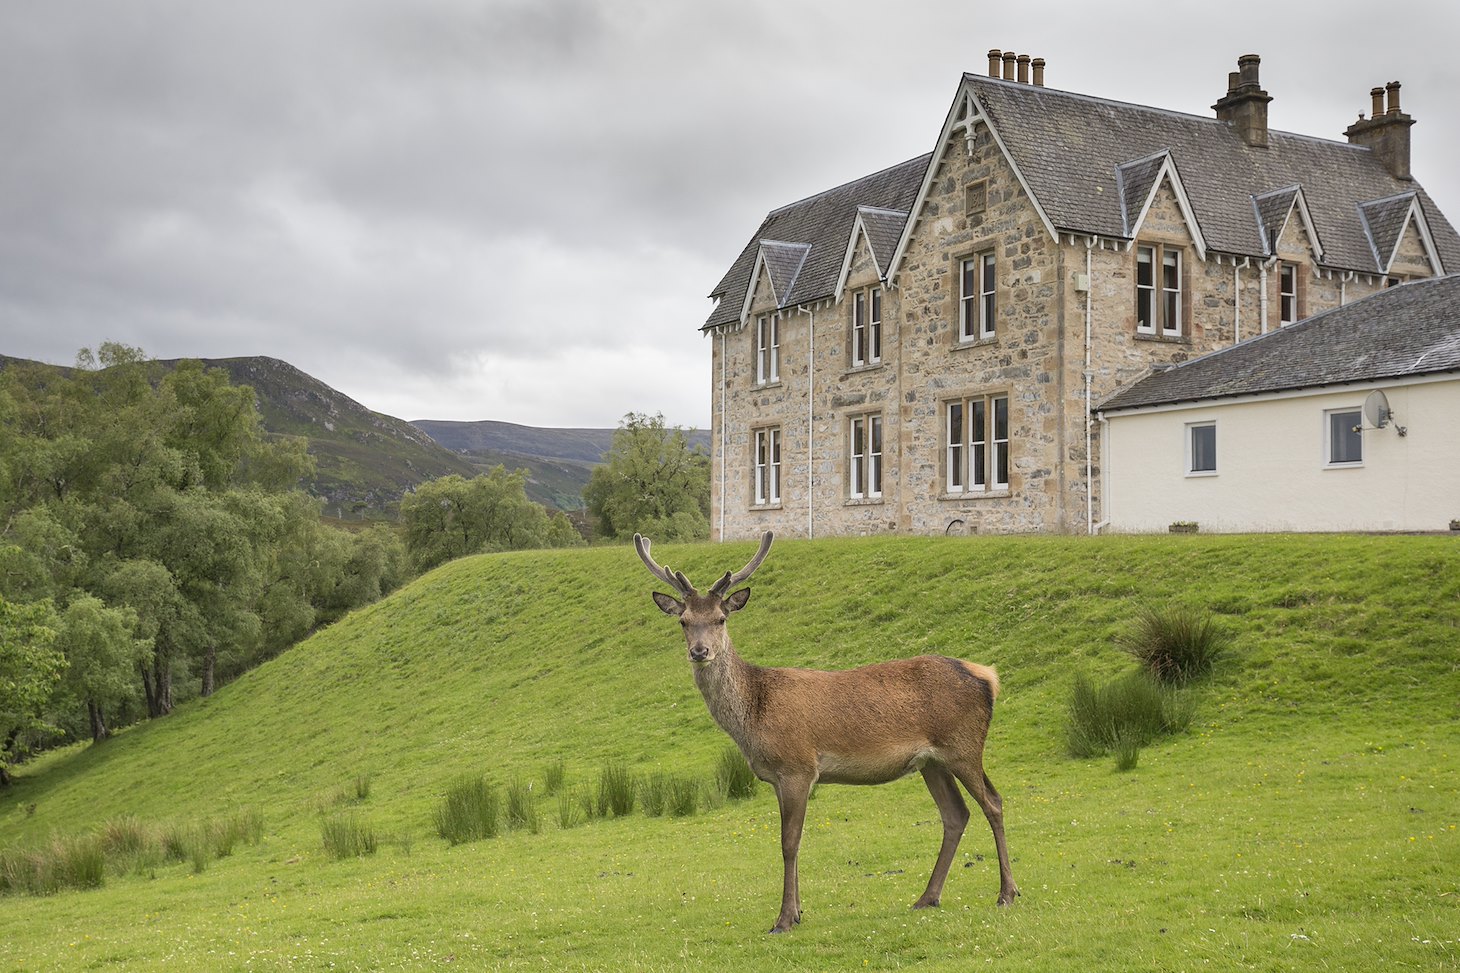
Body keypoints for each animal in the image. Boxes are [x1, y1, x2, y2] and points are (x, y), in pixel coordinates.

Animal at [634, 530, 1017, 934]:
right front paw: (798, 912)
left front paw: (784, 918)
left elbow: (789, 842)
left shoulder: (798, 767)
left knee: (993, 802)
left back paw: (1006, 893)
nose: (700, 651)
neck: (754, 715)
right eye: (684, 621)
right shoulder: (777, 777)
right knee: (956, 814)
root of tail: (988, 677)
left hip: (964, 746)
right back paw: (927, 897)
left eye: (721, 618)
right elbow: (792, 840)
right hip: (932, 762)